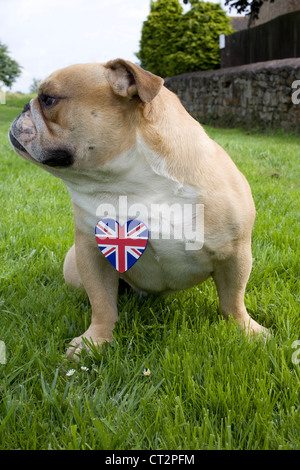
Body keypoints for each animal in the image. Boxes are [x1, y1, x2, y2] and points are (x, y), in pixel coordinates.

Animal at [9, 58, 268, 356]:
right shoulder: (91, 253)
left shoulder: (235, 252)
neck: (130, 180)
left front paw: (247, 331)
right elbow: (101, 303)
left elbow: (233, 299)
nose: (23, 107)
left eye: (48, 99)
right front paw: (95, 340)